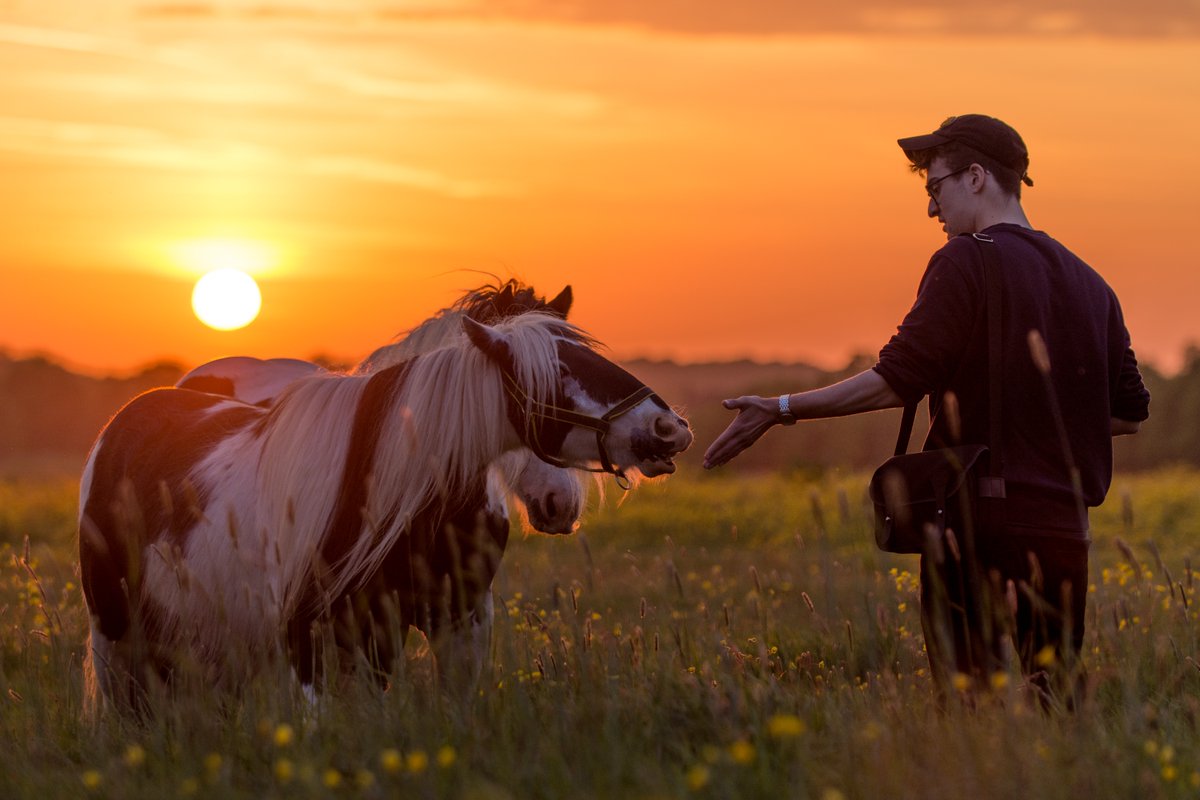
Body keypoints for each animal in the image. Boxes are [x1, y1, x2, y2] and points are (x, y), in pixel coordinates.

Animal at [80, 312, 692, 710]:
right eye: (559, 375)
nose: (670, 428)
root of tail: (127, 420)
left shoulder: (448, 625)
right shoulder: (313, 641)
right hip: (120, 639)